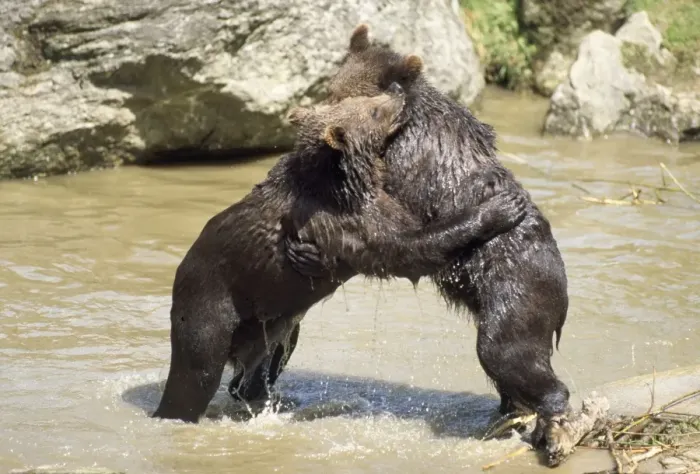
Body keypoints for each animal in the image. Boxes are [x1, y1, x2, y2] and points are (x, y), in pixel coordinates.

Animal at [151, 82, 529, 423]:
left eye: (366, 99)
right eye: (373, 110)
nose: (398, 90)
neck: (343, 183)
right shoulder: (342, 220)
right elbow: (403, 249)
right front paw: (502, 206)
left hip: (271, 325)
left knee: (259, 368)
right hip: (210, 302)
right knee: (195, 375)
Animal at [285, 25, 573, 466]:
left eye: (347, 99)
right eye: (332, 91)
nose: (315, 121)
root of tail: (563, 295)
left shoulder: (405, 171)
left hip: (518, 289)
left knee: (506, 351)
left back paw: (552, 431)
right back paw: (510, 416)